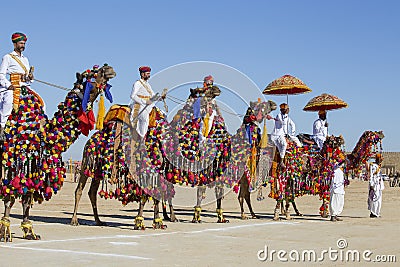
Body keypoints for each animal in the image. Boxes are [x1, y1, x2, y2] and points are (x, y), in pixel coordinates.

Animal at [0, 63, 115, 242]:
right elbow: (9, 198)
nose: (108, 68)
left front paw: (29, 232)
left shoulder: (34, 165)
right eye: (92, 74)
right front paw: (5, 233)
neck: (42, 133)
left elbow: (26, 198)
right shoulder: (16, 161)